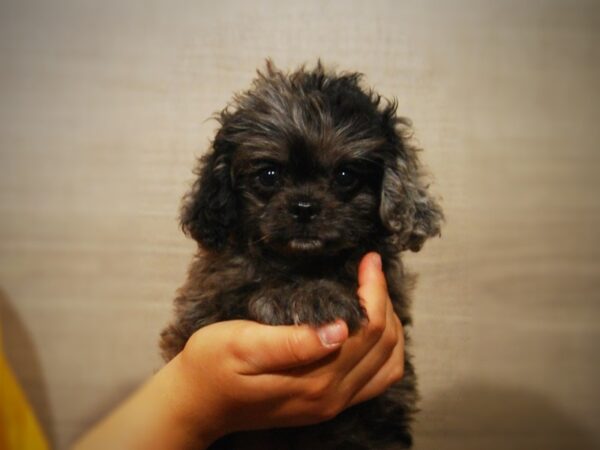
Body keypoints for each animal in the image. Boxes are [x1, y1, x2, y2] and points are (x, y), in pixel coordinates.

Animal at [162, 60, 442, 450]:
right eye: (268, 175)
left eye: (345, 175)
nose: (304, 207)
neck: (303, 263)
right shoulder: (204, 306)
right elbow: (249, 289)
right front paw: (306, 297)